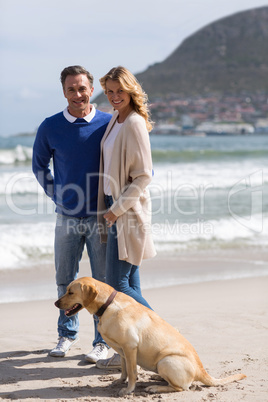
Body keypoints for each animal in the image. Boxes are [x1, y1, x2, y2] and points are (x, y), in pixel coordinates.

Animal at [55, 276, 246, 396]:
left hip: (165, 361)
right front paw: (119, 382)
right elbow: (124, 370)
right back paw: (156, 378)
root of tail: (202, 370)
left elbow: (132, 372)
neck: (107, 305)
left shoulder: (130, 346)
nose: (55, 303)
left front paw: (128, 390)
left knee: (182, 388)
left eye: (70, 292)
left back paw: (155, 388)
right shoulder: (122, 351)